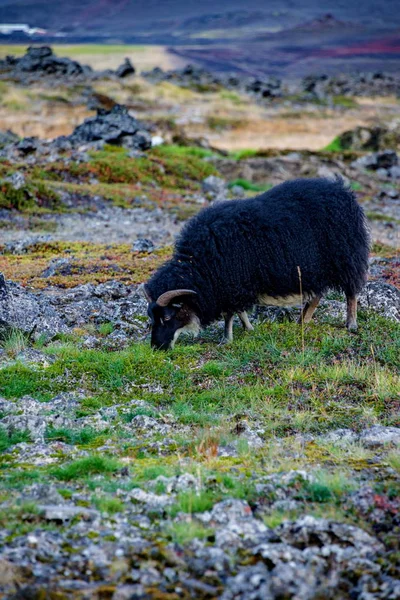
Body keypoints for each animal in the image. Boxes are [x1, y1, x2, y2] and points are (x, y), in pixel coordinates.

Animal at [142, 176, 370, 350]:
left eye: (167, 317)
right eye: (151, 317)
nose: (157, 347)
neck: (199, 266)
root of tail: (342, 190)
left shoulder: (230, 282)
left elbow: (229, 313)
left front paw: (226, 338)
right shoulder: (234, 284)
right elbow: (238, 309)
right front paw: (248, 328)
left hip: (346, 257)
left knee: (351, 291)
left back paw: (351, 324)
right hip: (316, 268)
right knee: (317, 295)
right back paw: (302, 321)